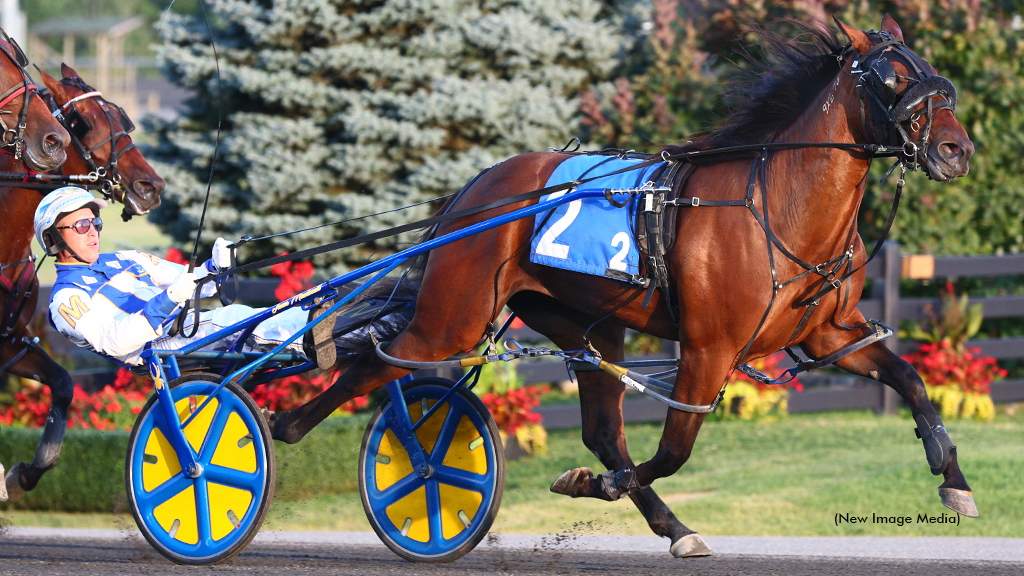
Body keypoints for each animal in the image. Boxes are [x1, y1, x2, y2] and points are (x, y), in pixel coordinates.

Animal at [1, 65, 165, 500]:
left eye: (122, 117)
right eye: (82, 122)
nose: (151, 185)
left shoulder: (12, 342)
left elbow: (62, 385)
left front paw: (22, 475)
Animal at [270, 16, 974, 557]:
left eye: (933, 69)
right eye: (890, 75)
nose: (956, 150)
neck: (778, 209)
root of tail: (473, 191)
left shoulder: (830, 334)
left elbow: (910, 380)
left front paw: (953, 477)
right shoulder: (709, 350)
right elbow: (674, 449)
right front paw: (596, 485)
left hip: (584, 326)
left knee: (602, 430)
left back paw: (674, 526)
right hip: (453, 316)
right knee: (374, 363)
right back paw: (281, 426)